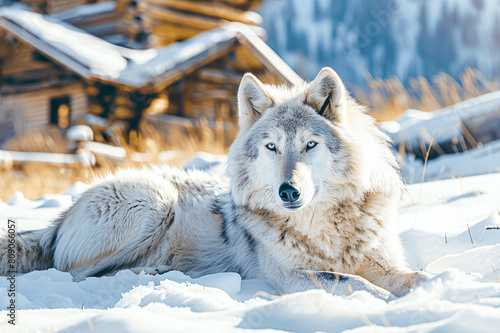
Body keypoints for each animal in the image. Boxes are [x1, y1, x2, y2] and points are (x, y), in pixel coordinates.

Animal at [0, 67, 430, 298]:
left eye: (310, 144)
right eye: (272, 147)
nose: (288, 191)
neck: (326, 229)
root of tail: (58, 220)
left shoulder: (384, 262)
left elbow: (417, 277)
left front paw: (435, 288)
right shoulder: (291, 276)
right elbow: (352, 282)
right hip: (155, 202)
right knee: (72, 274)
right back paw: (158, 275)